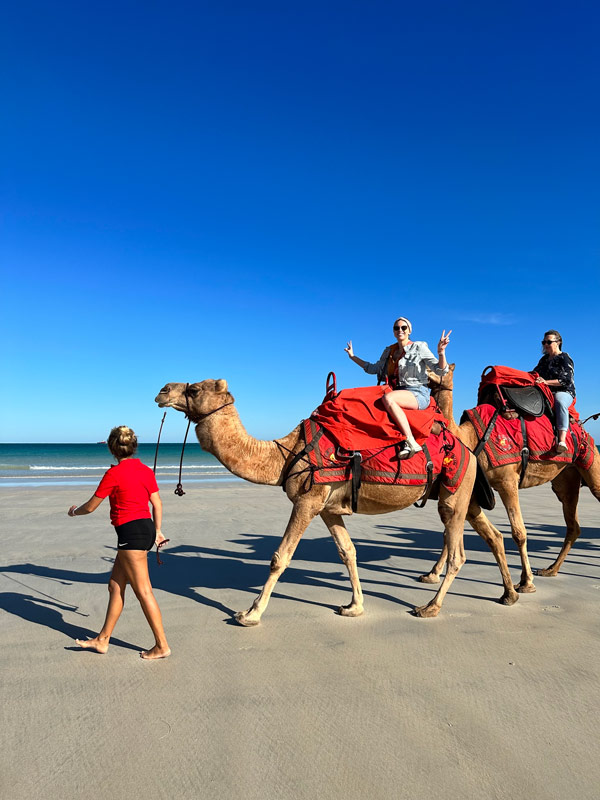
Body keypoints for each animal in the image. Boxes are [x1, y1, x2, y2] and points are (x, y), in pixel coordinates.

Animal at [155, 379, 477, 625]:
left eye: (194, 389)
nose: (163, 390)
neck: (284, 454)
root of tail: (469, 451)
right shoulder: (327, 508)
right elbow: (348, 551)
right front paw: (354, 607)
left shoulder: (306, 502)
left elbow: (280, 557)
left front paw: (250, 613)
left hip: (456, 491)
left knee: (457, 553)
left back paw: (430, 607)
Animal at [424, 365, 600, 603]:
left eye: (443, 369)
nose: (427, 376)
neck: (470, 437)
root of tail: (582, 428)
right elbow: (448, 533)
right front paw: (431, 574)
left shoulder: (507, 481)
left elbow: (518, 532)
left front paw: (526, 583)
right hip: (565, 480)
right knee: (573, 526)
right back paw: (550, 570)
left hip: (591, 462)